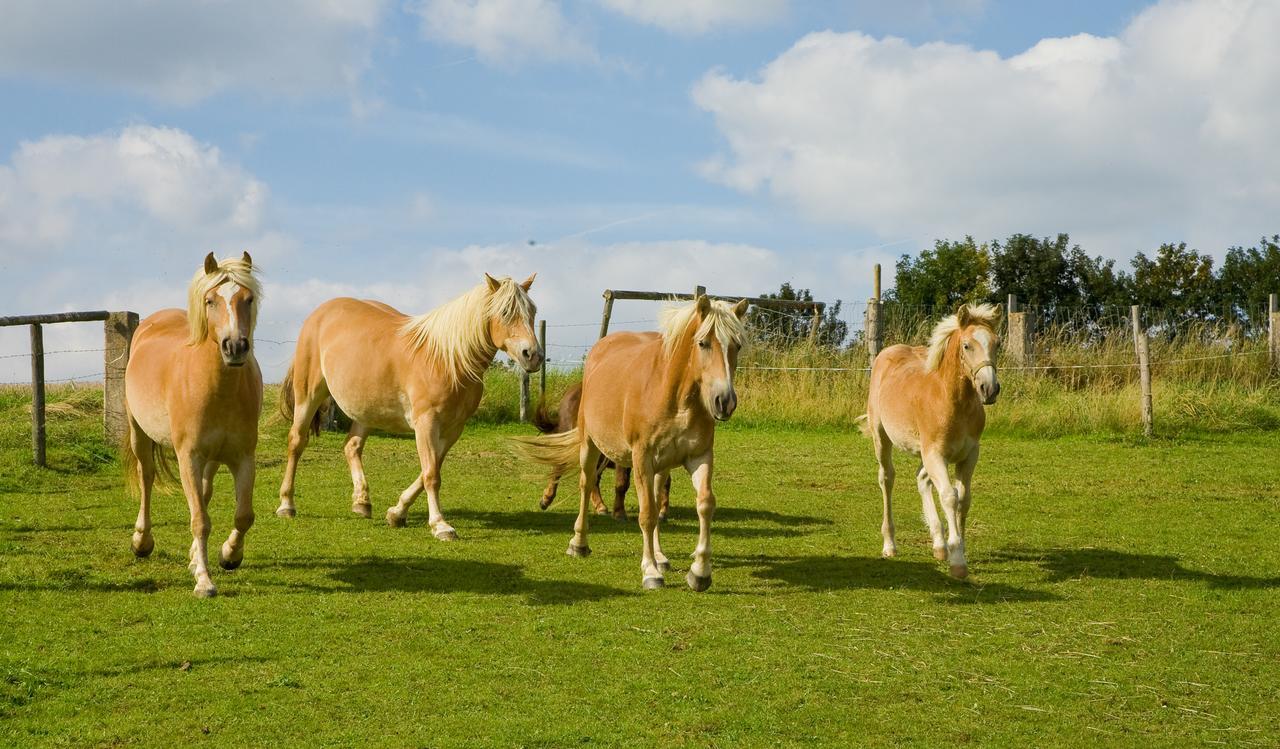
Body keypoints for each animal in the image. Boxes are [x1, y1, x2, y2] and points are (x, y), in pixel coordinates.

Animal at [122, 250, 262, 596]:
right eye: (211, 300)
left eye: (248, 298)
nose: (235, 346)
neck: (217, 387)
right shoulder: (189, 456)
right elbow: (199, 519)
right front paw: (204, 581)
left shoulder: (243, 457)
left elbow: (243, 515)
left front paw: (229, 555)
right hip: (140, 435)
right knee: (147, 478)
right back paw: (142, 542)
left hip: (212, 458)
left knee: (205, 492)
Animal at [275, 272, 540, 537]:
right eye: (505, 312)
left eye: (533, 311)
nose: (532, 355)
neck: (447, 360)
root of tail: (321, 312)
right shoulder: (426, 423)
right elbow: (431, 474)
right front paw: (440, 525)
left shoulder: (453, 429)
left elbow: (429, 470)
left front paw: (397, 512)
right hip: (308, 395)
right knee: (297, 442)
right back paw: (287, 505)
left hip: (366, 410)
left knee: (352, 446)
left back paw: (362, 501)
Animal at [529, 378, 670, 519]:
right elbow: (622, 483)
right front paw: (619, 512)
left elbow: (665, 483)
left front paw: (662, 511)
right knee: (559, 468)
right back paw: (546, 499)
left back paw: (600, 506)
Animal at [865, 302, 1003, 578]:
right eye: (967, 345)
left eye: (997, 343)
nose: (989, 389)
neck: (951, 400)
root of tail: (886, 354)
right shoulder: (935, 454)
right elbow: (949, 497)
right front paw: (958, 561)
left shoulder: (969, 455)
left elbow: (963, 499)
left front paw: (957, 547)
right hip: (882, 437)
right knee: (887, 478)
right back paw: (890, 545)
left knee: (921, 479)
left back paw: (939, 545)